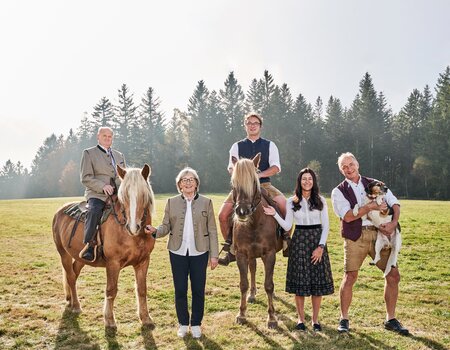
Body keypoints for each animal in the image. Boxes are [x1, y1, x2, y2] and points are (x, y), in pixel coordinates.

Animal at [51, 164, 155, 328]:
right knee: (71, 277)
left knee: (73, 274)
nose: (133, 227)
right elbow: (111, 290)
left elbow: (142, 290)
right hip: (63, 254)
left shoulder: (143, 262)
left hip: (81, 258)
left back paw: (71, 301)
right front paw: (109, 320)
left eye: (143, 195)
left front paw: (145, 318)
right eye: (124, 196)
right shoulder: (113, 263)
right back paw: (76, 306)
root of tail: (59, 211)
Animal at [230, 153, 284, 328]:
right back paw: (252, 294)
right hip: (251, 254)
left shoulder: (270, 254)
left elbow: (269, 284)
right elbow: (243, 284)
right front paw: (241, 314)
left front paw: (272, 317)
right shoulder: (241, 254)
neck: (254, 223)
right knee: (252, 269)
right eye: (234, 183)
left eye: (254, 182)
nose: (242, 211)